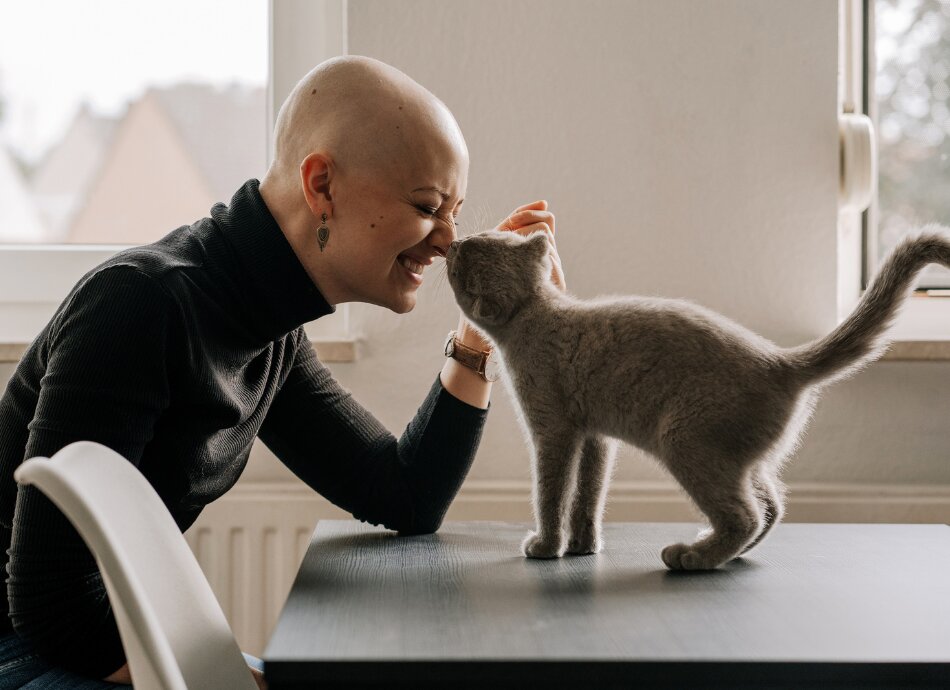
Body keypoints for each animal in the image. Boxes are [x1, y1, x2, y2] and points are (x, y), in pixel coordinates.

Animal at [446, 226, 950, 568]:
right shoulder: (595, 437)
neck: (535, 314)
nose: (451, 243)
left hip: (686, 440)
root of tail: (780, 361)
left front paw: (546, 546)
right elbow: (588, 494)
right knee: (771, 505)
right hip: (739, 456)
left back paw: (693, 556)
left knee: (745, 514)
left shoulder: (554, 431)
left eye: (462, 259)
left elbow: (551, 492)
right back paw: (724, 552)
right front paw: (583, 546)